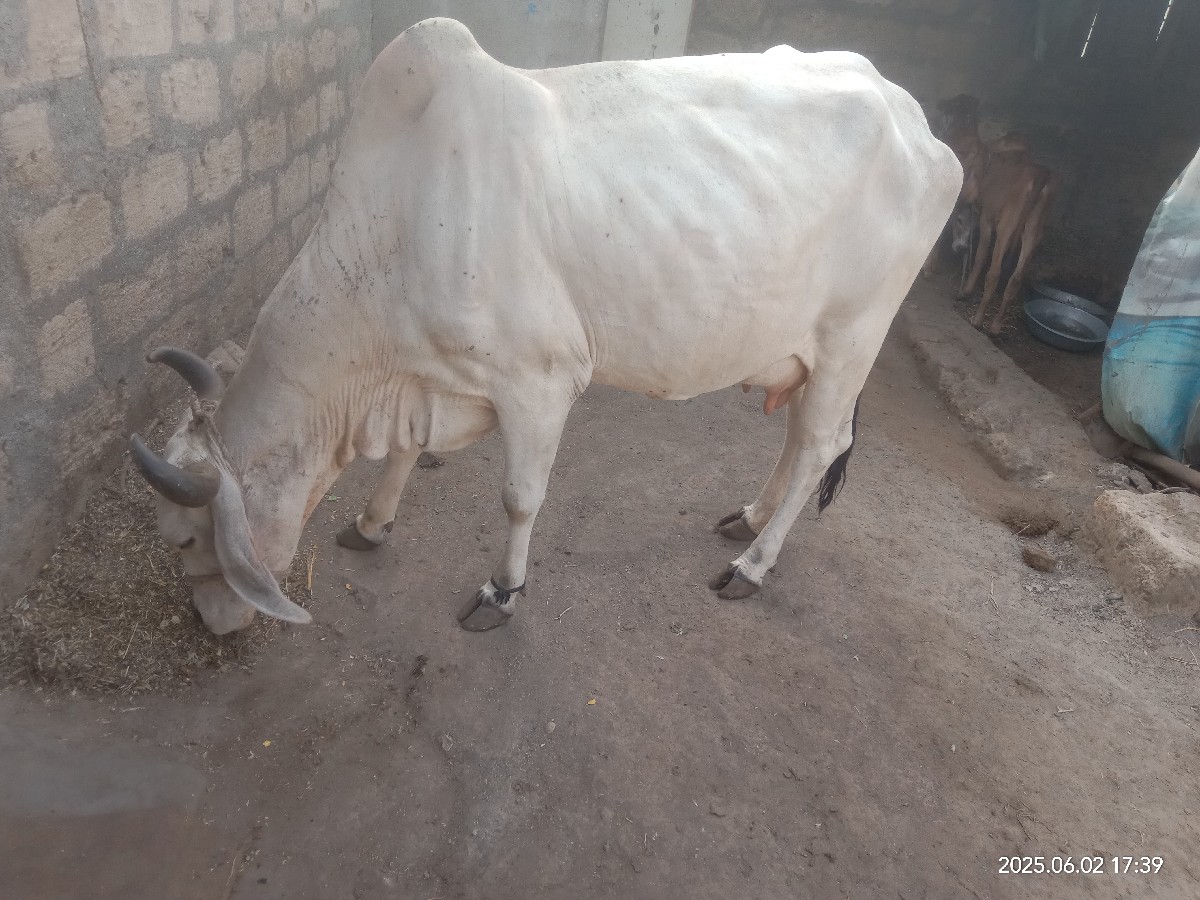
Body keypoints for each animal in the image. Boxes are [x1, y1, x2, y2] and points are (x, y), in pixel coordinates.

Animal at [129, 18, 961, 635]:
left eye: (185, 538)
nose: (209, 624)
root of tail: (912, 116)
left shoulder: (540, 381)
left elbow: (520, 497)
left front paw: (501, 592)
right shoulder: (429, 378)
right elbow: (405, 454)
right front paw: (371, 524)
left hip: (855, 336)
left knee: (823, 441)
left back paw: (753, 565)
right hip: (803, 347)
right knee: (797, 436)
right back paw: (748, 517)